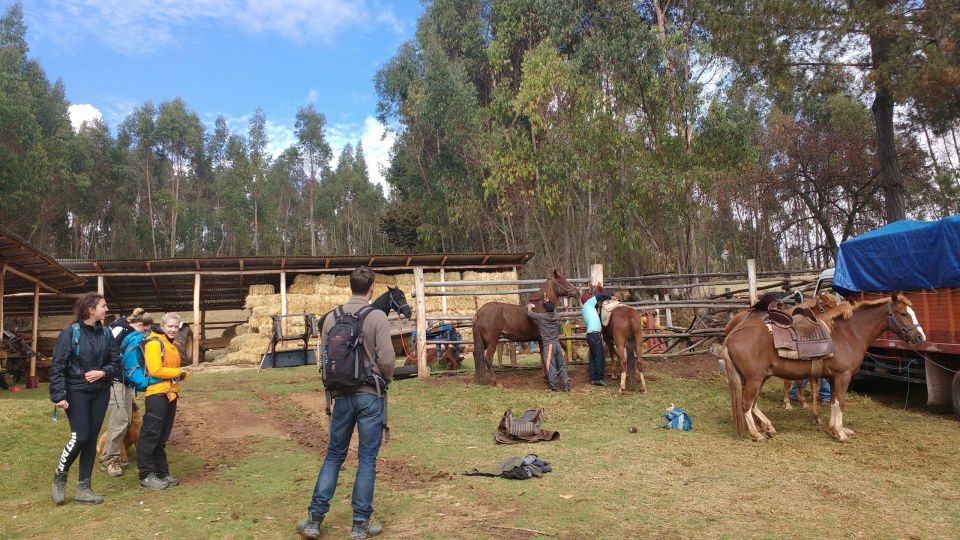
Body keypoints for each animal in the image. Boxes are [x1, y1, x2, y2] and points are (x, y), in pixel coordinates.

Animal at [724, 294, 928, 440]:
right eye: (903, 313)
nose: (920, 337)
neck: (847, 334)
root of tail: (733, 334)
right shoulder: (843, 376)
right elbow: (840, 402)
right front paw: (840, 433)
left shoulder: (832, 377)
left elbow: (832, 402)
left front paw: (834, 429)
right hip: (754, 378)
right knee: (746, 403)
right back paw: (757, 434)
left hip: (759, 377)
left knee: (753, 404)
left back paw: (768, 427)